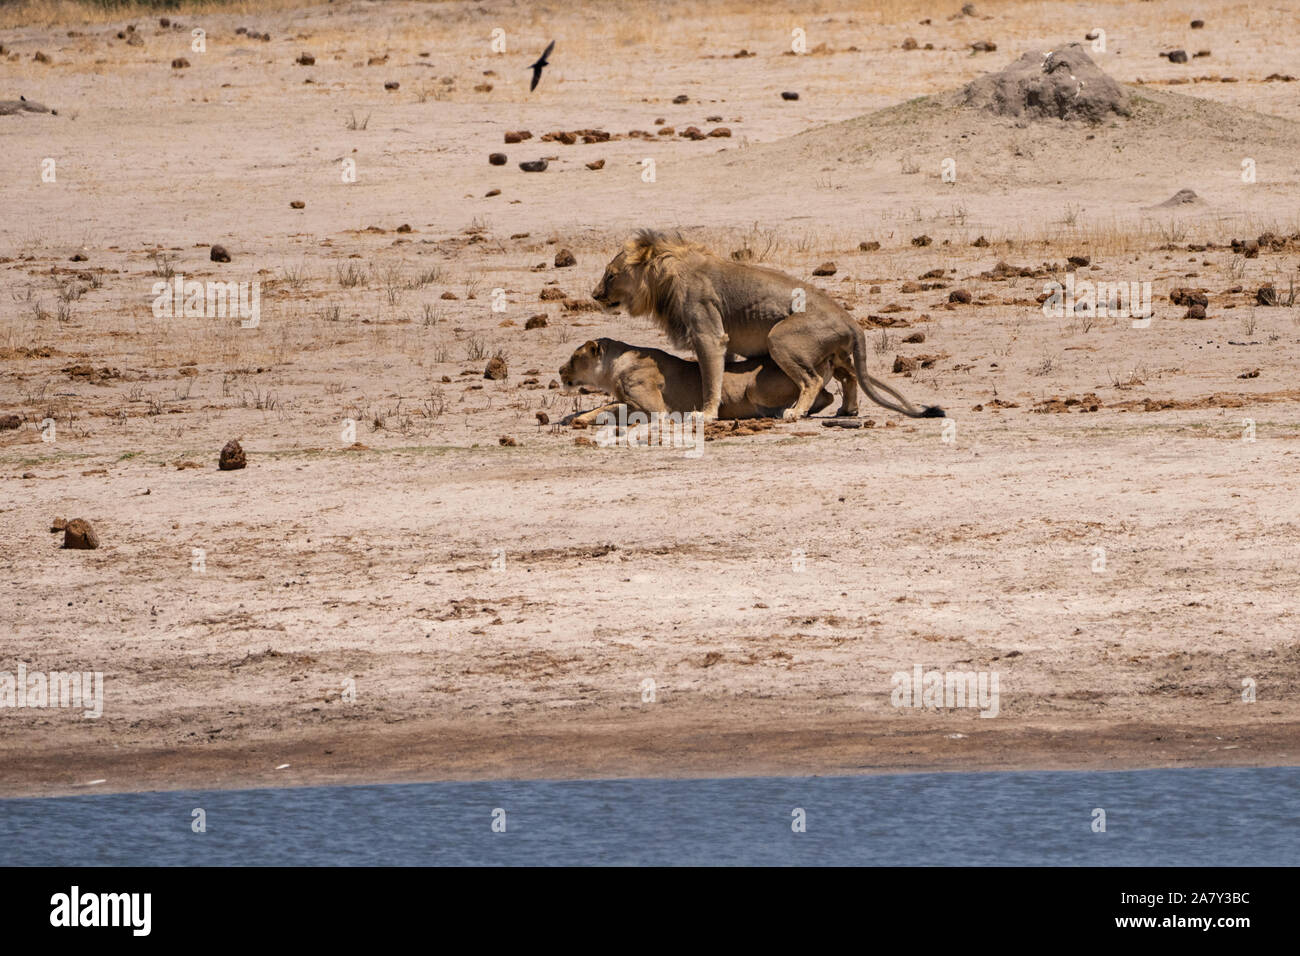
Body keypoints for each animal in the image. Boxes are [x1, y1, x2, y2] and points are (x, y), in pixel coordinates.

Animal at [556, 338, 837, 424]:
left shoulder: (654, 409)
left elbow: (609, 407)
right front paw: (575, 417)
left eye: (575, 357)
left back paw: (788, 411)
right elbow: (602, 406)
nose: (559, 370)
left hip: (755, 388)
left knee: (822, 391)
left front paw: (581, 419)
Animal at [592, 230, 946, 421]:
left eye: (610, 275)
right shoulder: (722, 341)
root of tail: (850, 320)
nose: (595, 295)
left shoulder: (709, 334)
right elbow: (719, 373)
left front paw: (706, 414)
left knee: (812, 380)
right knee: (849, 378)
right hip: (835, 353)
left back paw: (796, 412)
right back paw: (848, 411)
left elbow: (709, 379)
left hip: (780, 337)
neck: (665, 273)